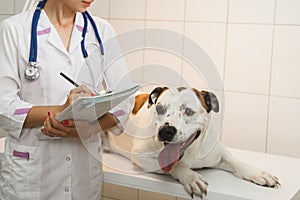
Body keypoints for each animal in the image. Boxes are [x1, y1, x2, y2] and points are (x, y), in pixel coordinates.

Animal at [103, 87, 282, 198]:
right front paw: (190, 177)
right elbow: (174, 166)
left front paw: (259, 174)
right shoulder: (141, 157)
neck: (190, 151)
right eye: (160, 109)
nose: (166, 131)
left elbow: (237, 162)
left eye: (188, 111)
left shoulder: (219, 153)